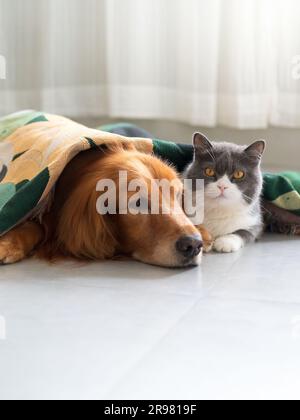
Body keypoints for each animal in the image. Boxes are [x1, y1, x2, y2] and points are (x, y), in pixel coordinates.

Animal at [0, 146, 212, 268]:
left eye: (177, 195)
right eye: (138, 203)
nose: (193, 244)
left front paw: (203, 231)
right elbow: (33, 226)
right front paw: (8, 243)